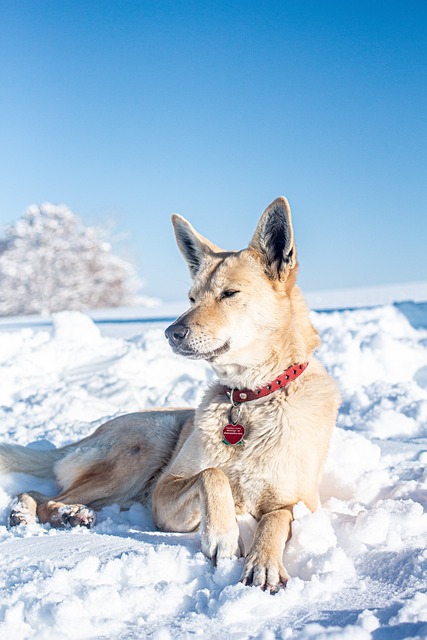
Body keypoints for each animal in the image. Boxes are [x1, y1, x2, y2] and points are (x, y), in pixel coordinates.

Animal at [0, 198, 342, 592]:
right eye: (192, 298)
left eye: (229, 293)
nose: (171, 332)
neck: (250, 398)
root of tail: (85, 437)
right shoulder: (164, 495)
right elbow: (213, 474)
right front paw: (223, 536)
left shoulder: (301, 502)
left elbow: (276, 519)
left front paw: (264, 564)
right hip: (142, 452)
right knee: (39, 494)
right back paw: (42, 512)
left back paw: (64, 514)